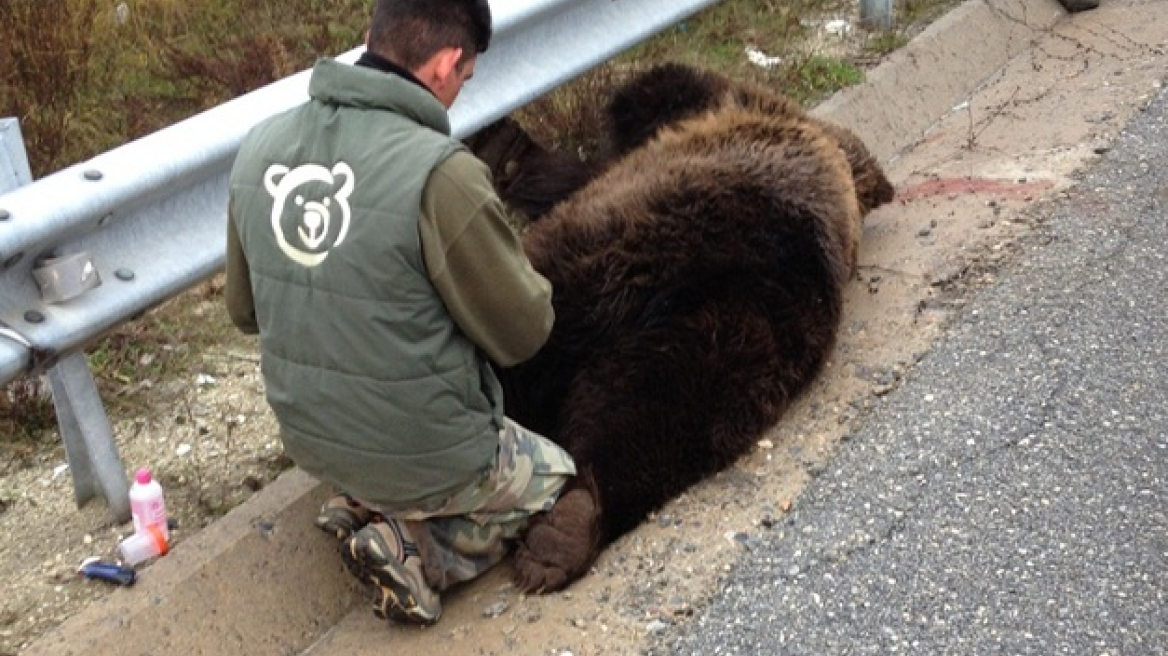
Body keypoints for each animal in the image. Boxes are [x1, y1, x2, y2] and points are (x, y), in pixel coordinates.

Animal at [464, 62, 892, 592]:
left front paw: (502, 144)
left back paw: (558, 532)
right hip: (742, 327)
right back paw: (572, 526)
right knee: (665, 414)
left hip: (579, 271)